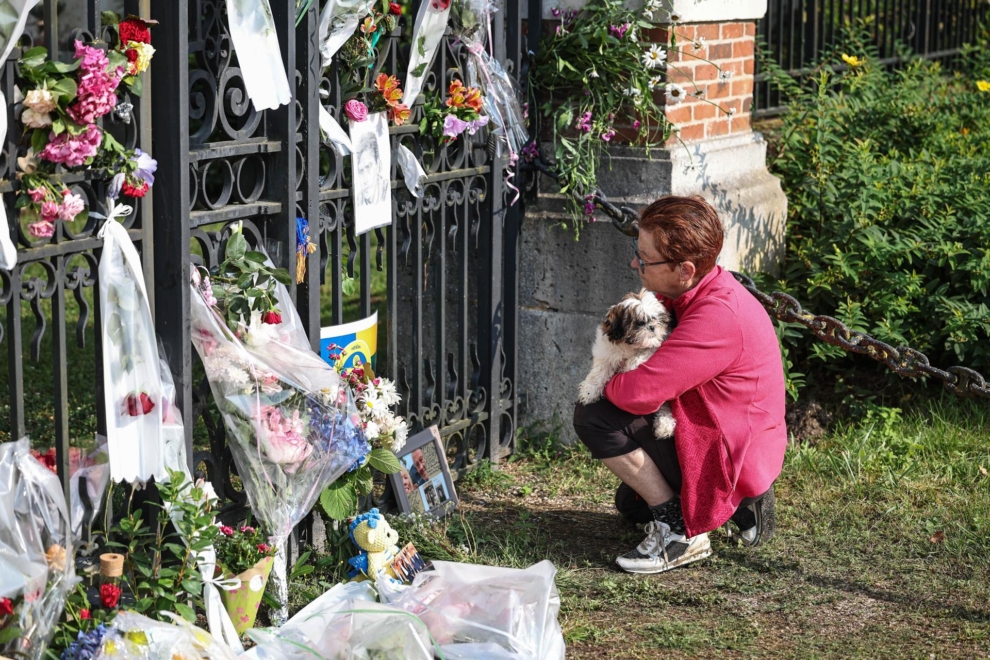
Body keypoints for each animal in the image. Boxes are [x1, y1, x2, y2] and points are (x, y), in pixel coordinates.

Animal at [576, 288, 680, 438]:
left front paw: (632, 363)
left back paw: (664, 425)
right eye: (640, 323)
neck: (630, 346)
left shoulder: (655, 345)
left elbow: (645, 352)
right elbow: (600, 370)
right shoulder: (606, 352)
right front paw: (589, 391)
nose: (652, 327)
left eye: (658, 320)